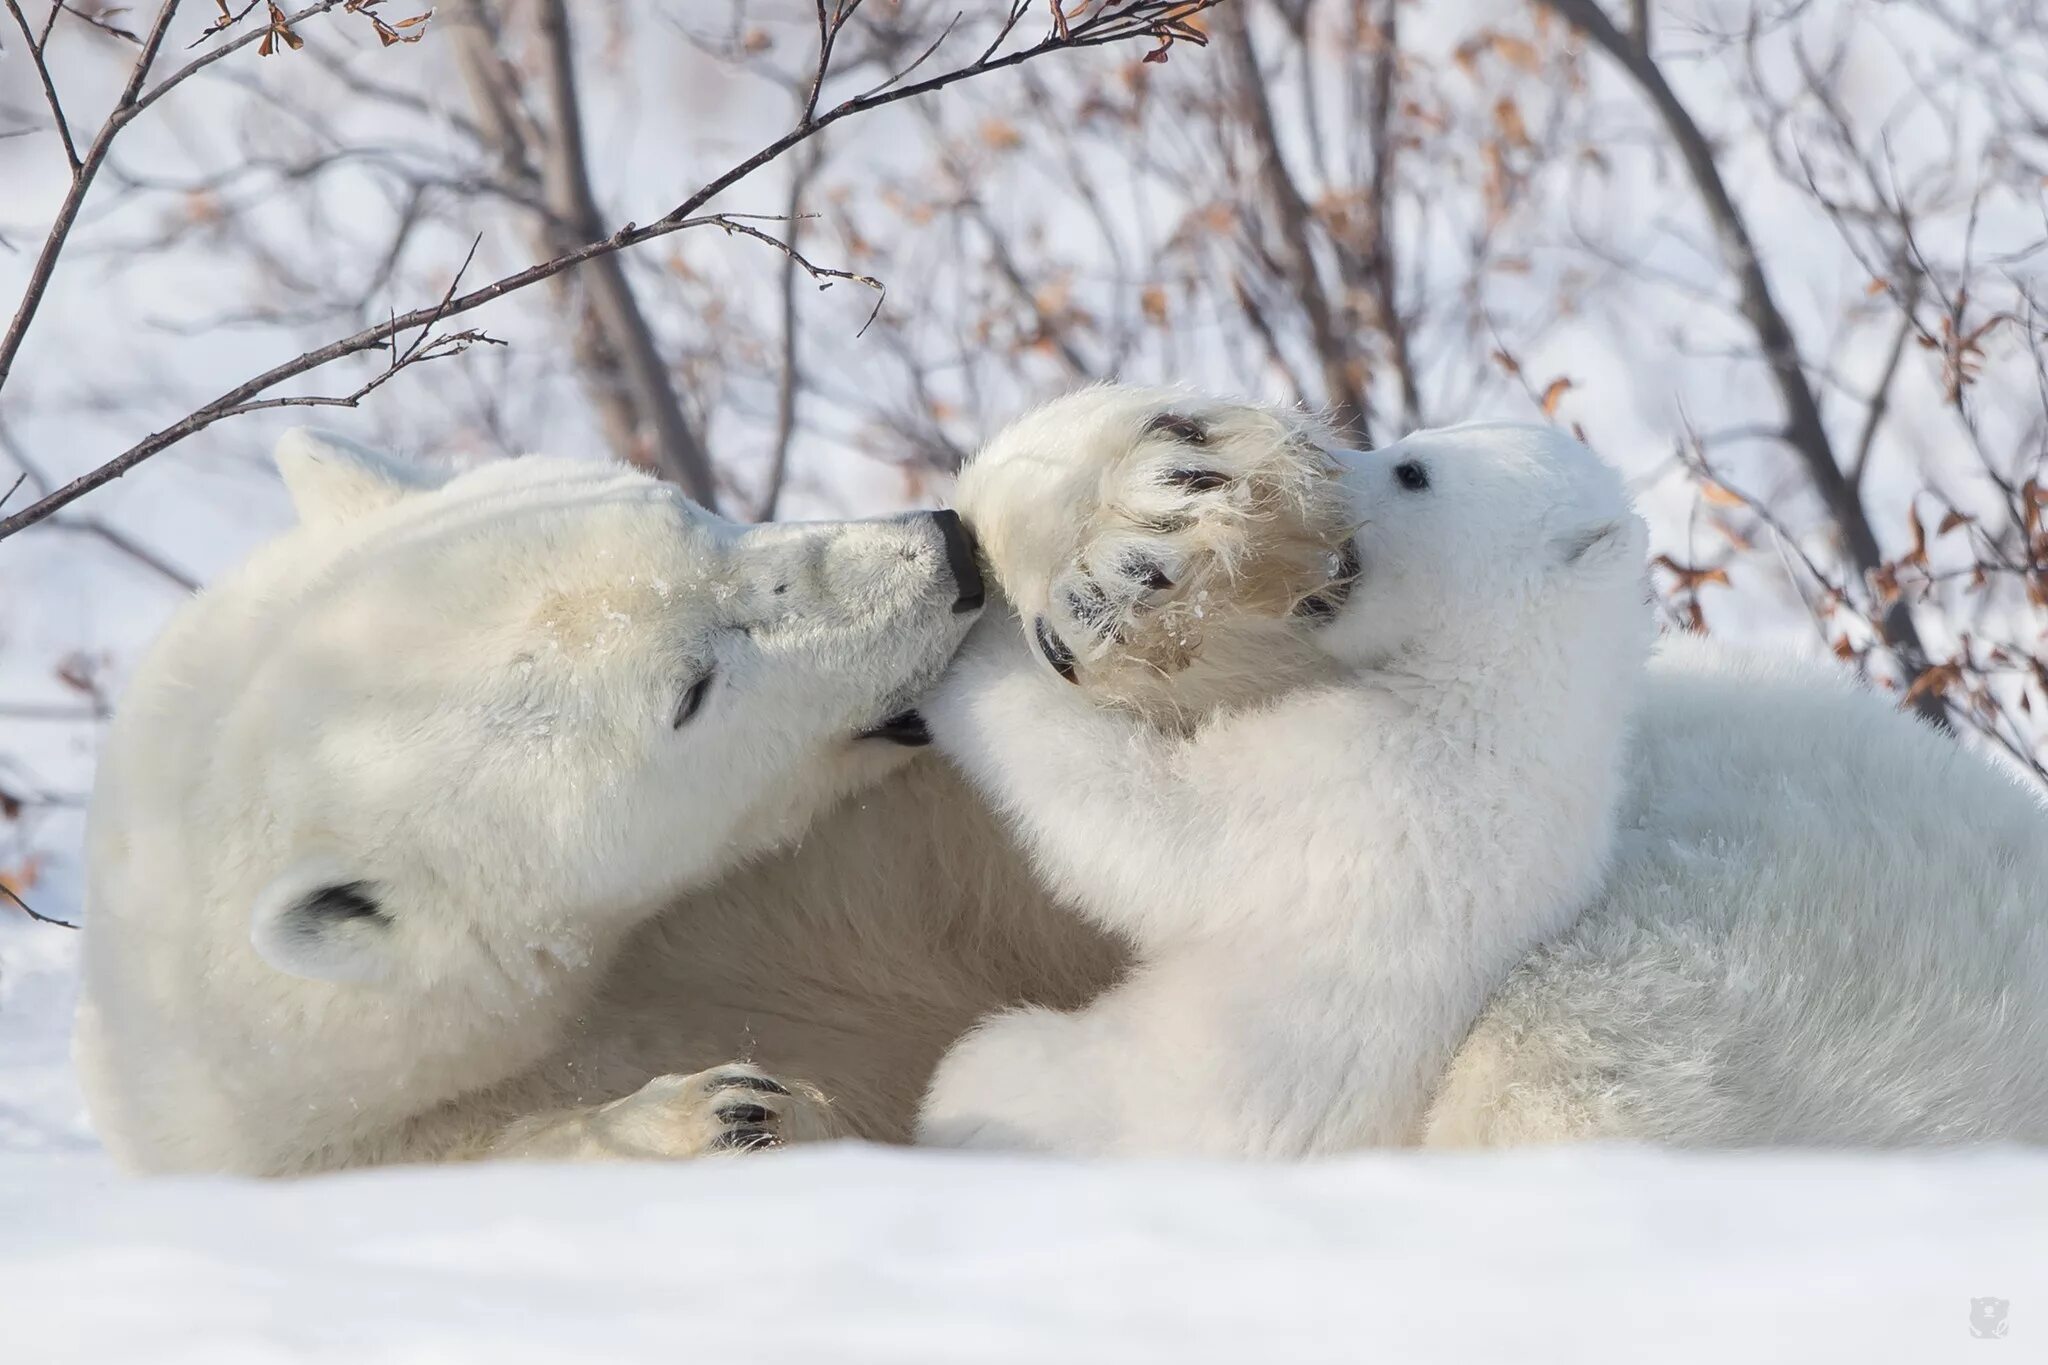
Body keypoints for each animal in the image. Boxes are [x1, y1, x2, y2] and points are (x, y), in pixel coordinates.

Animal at [79, 394, 2048, 1178]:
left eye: (699, 514)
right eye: (690, 691)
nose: (931, 558)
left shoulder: (875, 848)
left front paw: (1152, 502)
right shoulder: (336, 1133)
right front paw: (721, 1115)